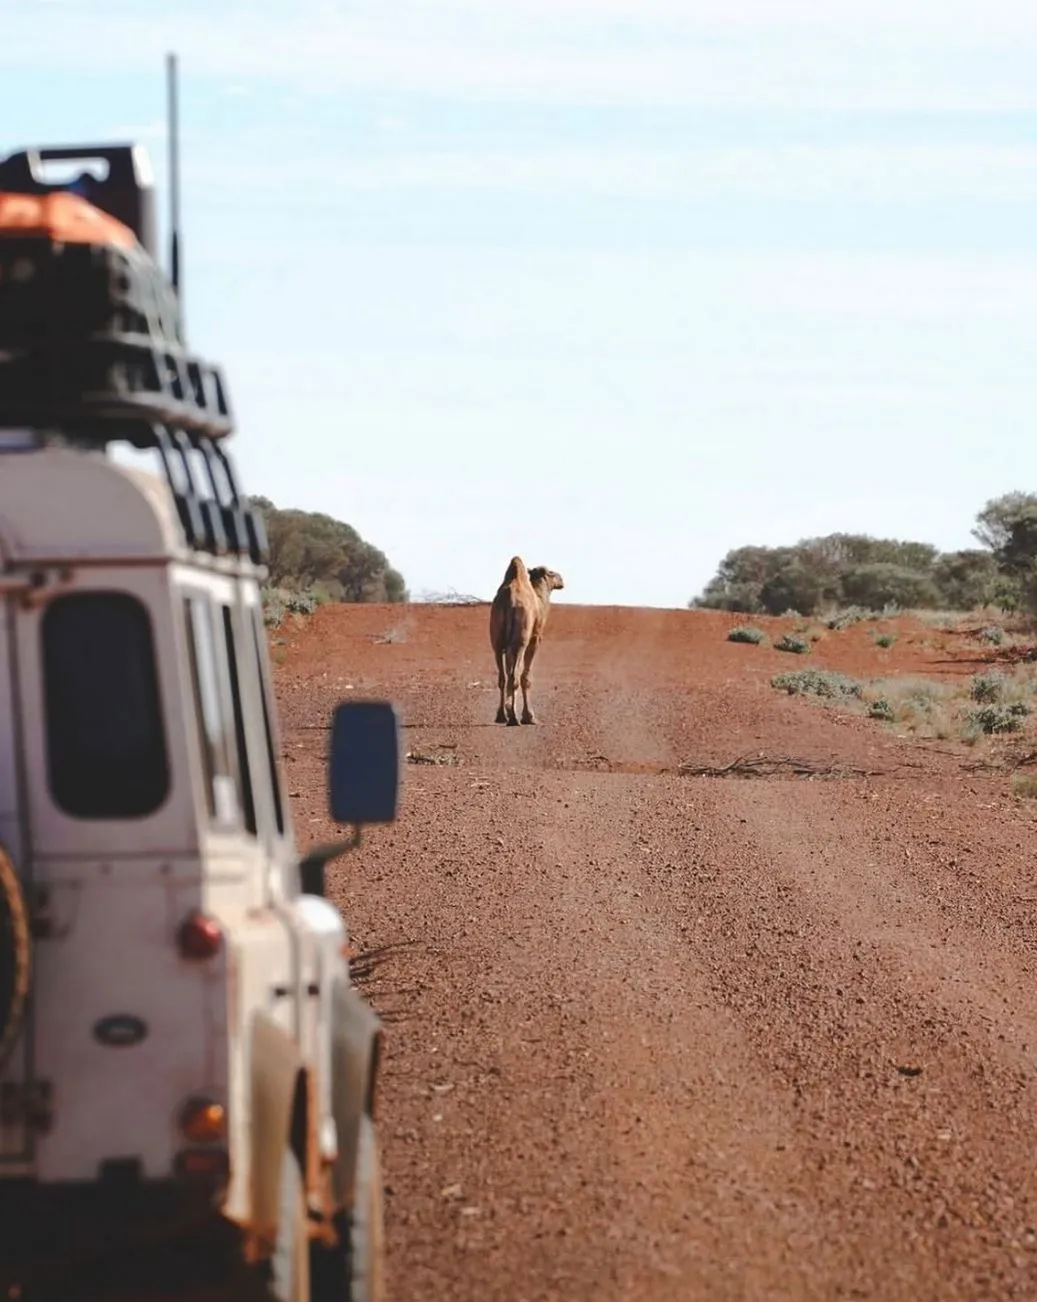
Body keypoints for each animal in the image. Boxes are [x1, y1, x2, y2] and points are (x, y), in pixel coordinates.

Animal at [489, 556, 565, 726]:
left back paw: (501, 715)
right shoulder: (535, 639)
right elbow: (526, 677)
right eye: (551, 572)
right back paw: (514, 718)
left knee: (503, 677)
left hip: (497, 641)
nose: (561, 579)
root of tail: (510, 600)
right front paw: (529, 716)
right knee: (515, 677)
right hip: (520, 642)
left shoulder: (507, 646)